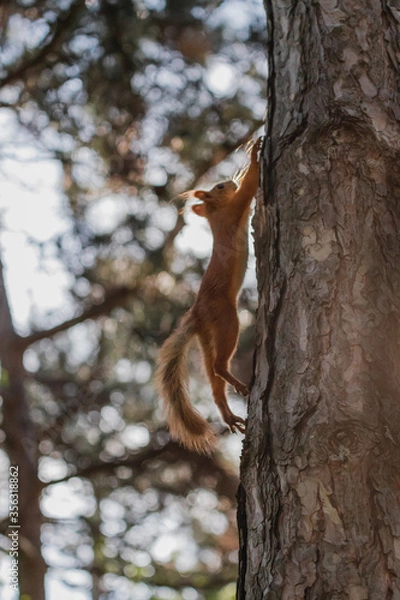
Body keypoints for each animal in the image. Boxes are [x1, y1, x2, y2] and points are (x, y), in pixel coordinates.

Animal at [155, 137, 262, 454]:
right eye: (219, 187)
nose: (229, 181)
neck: (215, 216)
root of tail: (196, 313)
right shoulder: (236, 208)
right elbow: (250, 187)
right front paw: (254, 156)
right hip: (227, 319)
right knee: (217, 365)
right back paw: (238, 385)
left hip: (206, 336)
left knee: (213, 381)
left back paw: (229, 415)